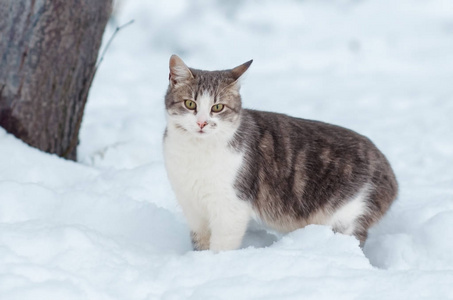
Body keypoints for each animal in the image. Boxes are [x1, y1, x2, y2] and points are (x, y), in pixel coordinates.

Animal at [162, 54, 396, 251]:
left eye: (217, 107)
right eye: (190, 104)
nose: (202, 123)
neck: (195, 153)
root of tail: (390, 171)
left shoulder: (232, 205)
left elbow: (221, 246)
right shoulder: (191, 206)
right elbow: (200, 242)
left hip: (349, 214)